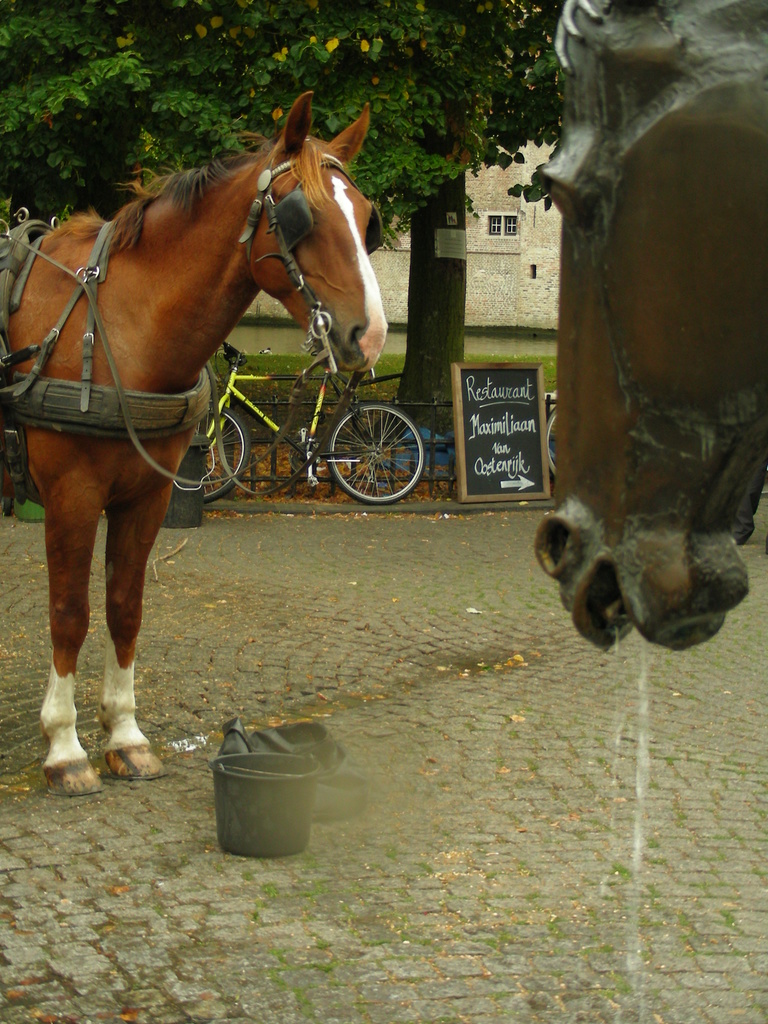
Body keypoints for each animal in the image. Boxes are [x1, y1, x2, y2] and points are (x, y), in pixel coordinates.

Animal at [0, 92, 385, 794]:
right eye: (302, 216)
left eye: (368, 219)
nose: (368, 335)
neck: (120, 323)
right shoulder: (70, 496)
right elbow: (70, 612)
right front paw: (65, 747)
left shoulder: (147, 496)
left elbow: (125, 606)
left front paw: (125, 735)